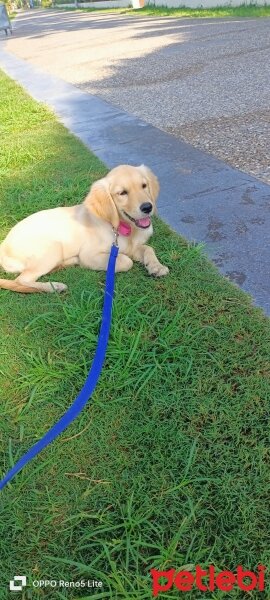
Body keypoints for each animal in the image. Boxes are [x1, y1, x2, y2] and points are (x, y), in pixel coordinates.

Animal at [0, 164, 169, 296]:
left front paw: (156, 267)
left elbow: (148, 249)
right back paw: (54, 286)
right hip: (52, 248)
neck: (121, 227)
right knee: (21, 280)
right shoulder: (89, 255)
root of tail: (3, 247)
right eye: (122, 193)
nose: (147, 207)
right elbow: (127, 261)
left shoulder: (132, 247)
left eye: (144, 186)